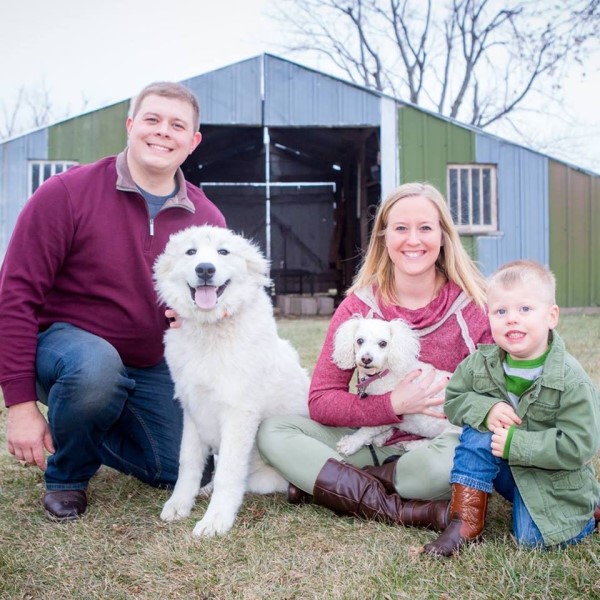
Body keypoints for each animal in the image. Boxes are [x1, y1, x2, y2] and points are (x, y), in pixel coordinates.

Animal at [154, 226, 310, 540]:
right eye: (191, 252)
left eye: (223, 252)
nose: (205, 269)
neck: (211, 328)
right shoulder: (192, 410)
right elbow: (188, 462)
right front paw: (179, 504)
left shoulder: (239, 414)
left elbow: (228, 471)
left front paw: (215, 520)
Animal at [332, 316, 460, 452]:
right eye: (360, 340)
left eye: (383, 343)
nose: (366, 359)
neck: (383, 373)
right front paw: (380, 437)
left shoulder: (388, 413)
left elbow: (368, 430)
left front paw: (351, 443)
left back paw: (413, 444)